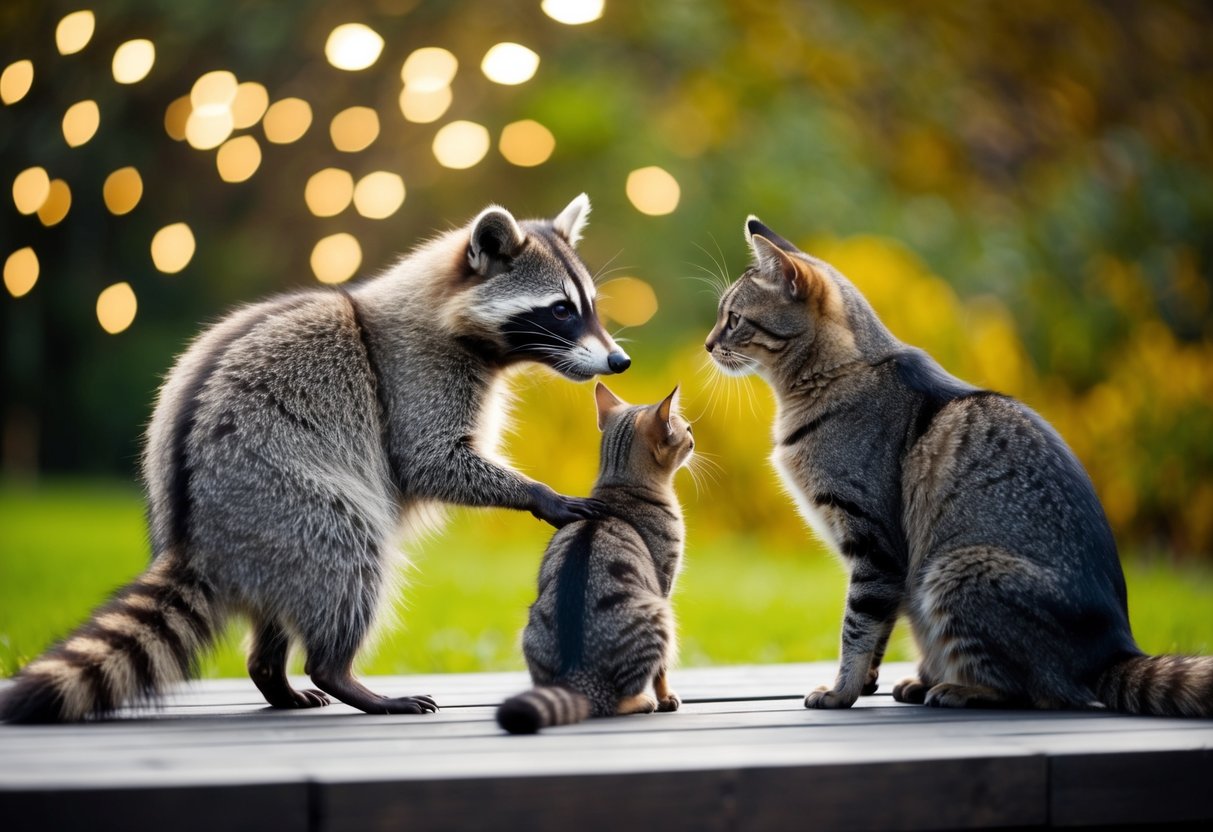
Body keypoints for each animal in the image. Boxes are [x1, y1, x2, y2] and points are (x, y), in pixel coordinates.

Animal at [1, 195, 632, 724]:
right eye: (560, 310)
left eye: (590, 307)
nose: (619, 361)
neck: (443, 306)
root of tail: (196, 539)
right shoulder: (415, 378)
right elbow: (429, 460)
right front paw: (538, 494)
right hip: (284, 497)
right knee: (350, 553)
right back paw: (341, 674)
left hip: (270, 540)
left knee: (287, 602)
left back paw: (271, 673)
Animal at [496, 383, 694, 733]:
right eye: (685, 429)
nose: (694, 432)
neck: (619, 488)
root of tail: (580, 679)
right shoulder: (665, 585)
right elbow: (662, 670)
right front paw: (667, 697)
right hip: (659, 614)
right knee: (615, 701)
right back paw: (642, 701)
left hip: (531, 627)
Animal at [704, 215, 1213, 716]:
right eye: (720, 317)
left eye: (734, 319)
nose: (708, 344)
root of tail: (1114, 651)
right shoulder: (886, 566)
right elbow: (878, 627)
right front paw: (865, 683)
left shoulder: (874, 545)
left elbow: (857, 625)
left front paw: (841, 690)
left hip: (955, 568)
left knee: (1035, 692)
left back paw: (959, 688)